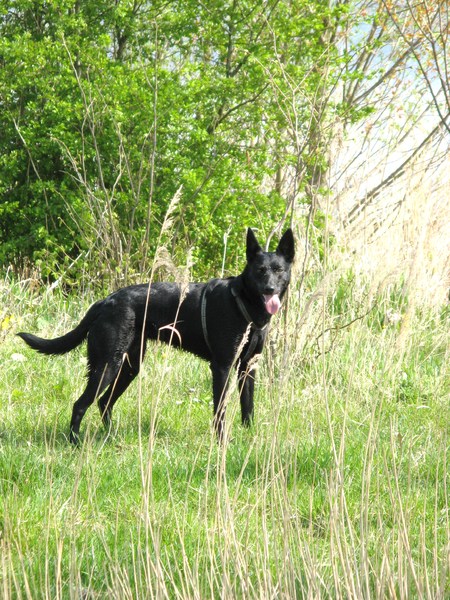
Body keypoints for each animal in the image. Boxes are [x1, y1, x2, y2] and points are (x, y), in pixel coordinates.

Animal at [17, 227, 294, 442]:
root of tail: (105, 302)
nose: (270, 289)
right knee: (80, 404)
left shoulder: (248, 367)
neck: (243, 302)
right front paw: (221, 443)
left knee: (104, 403)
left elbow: (248, 407)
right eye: (260, 270)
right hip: (108, 366)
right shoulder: (222, 367)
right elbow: (220, 411)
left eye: (278, 270)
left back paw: (110, 438)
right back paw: (75, 442)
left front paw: (248, 437)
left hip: (129, 367)